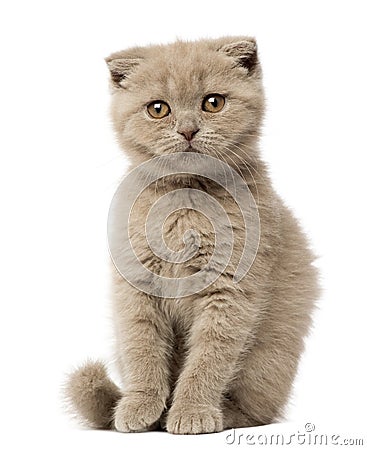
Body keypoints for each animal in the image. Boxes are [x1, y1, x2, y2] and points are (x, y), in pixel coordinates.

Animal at [66, 37, 320, 434]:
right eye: (158, 109)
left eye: (213, 102)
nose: (187, 130)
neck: (184, 203)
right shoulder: (136, 287)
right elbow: (142, 347)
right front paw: (139, 406)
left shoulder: (230, 290)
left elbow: (209, 357)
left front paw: (192, 411)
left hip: (270, 361)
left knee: (257, 410)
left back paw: (223, 416)